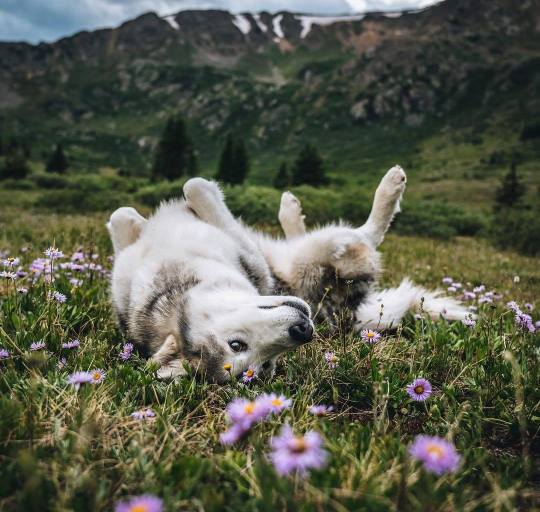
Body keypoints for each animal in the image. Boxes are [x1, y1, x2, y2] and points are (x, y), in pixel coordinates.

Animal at [106, 166, 468, 382]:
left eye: (235, 344)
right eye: (263, 363)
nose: (302, 331)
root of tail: (346, 315)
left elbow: (131, 211)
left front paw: (140, 220)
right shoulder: (252, 258)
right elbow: (196, 187)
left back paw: (290, 206)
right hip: (317, 255)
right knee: (365, 234)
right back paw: (390, 185)